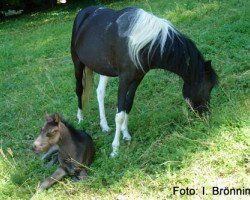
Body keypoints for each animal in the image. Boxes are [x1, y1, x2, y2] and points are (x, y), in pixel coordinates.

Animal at [70, 6, 217, 157]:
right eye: (206, 87)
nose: (206, 115)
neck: (142, 43)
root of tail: (84, 12)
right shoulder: (124, 79)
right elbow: (119, 115)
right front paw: (115, 149)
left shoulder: (137, 78)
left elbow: (127, 105)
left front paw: (126, 134)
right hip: (78, 63)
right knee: (79, 90)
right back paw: (80, 118)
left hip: (103, 68)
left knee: (100, 92)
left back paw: (104, 126)